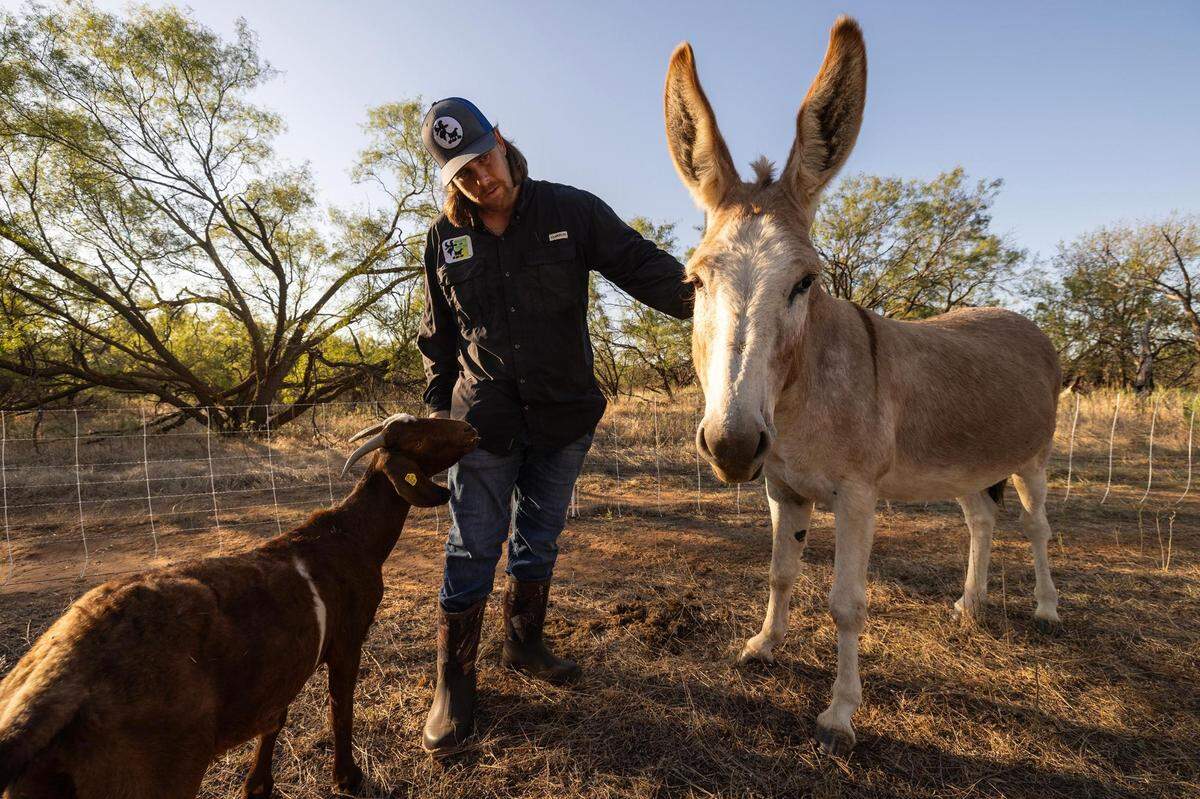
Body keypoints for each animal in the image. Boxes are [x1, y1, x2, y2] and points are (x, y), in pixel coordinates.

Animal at [0, 414, 477, 798]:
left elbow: (276, 718)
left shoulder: (280, 667)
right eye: (421, 435)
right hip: (150, 772)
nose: (471, 429)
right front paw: (347, 778)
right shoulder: (347, 641)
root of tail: (57, 684)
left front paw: (258, 786)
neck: (351, 535)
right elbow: (340, 707)